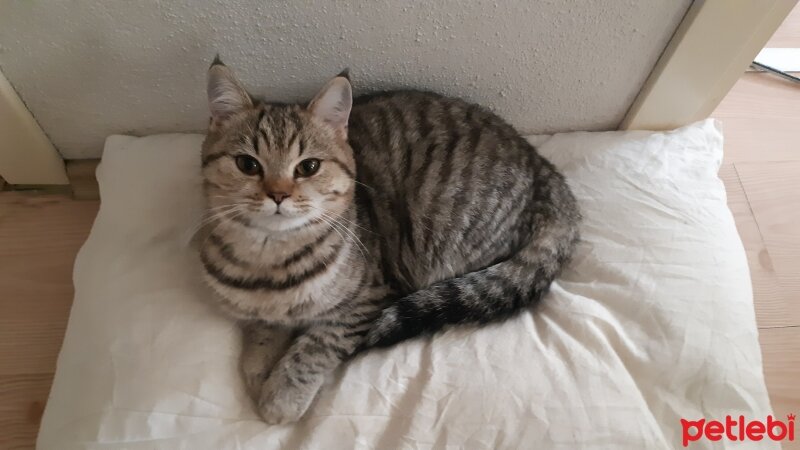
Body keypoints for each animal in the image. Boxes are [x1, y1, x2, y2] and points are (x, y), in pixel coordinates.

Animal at [198, 58, 580, 424]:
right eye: (247, 164)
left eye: (308, 167)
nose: (278, 194)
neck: (271, 263)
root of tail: (540, 163)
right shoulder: (253, 310)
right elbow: (260, 334)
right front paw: (260, 367)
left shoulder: (368, 296)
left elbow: (316, 345)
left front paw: (282, 394)